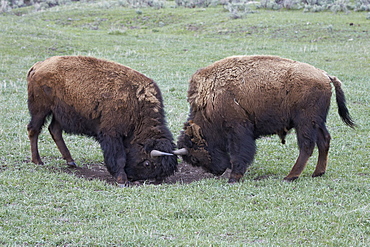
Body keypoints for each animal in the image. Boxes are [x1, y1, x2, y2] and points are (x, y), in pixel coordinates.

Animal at [26, 56, 177, 186]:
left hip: (60, 113)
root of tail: (38, 66)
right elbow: (119, 157)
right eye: (147, 163)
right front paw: (122, 180)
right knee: (33, 129)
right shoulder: (111, 134)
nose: (133, 178)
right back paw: (38, 161)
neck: (137, 104)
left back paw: (71, 162)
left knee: (55, 130)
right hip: (41, 109)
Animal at [176, 56, 356, 183]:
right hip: (317, 123)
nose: (217, 171)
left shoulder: (238, 130)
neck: (209, 101)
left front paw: (234, 177)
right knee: (324, 141)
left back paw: (290, 176)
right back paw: (317, 173)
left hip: (305, 122)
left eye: (194, 157)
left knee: (306, 146)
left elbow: (240, 153)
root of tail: (325, 75)